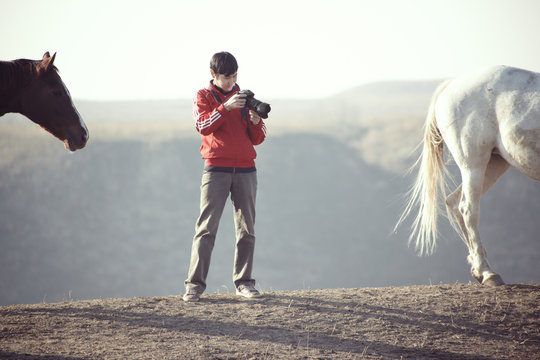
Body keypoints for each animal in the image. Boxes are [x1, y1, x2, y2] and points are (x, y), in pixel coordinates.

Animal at [396, 64, 540, 284]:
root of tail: (450, 86)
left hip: (495, 163)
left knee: (455, 202)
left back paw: (479, 269)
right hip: (473, 163)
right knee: (468, 209)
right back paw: (488, 273)